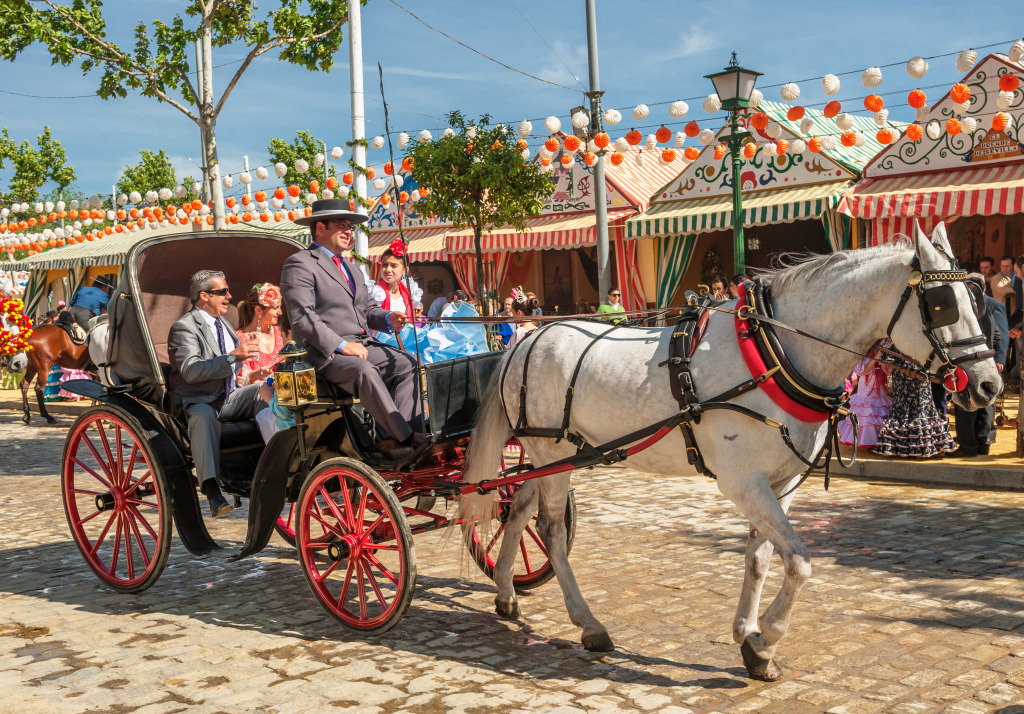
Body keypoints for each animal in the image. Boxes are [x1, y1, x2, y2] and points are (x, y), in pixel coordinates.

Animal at [462, 223, 999, 680]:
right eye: (943, 303)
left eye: (974, 297)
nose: (989, 384)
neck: (776, 352)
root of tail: (526, 340)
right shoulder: (742, 483)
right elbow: (799, 561)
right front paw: (766, 641)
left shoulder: (781, 483)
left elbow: (760, 557)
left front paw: (749, 635)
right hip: (552, 453)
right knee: (551, 531)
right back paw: (588, 624)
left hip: (546, 455)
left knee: (516, 509)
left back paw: (506, 591)